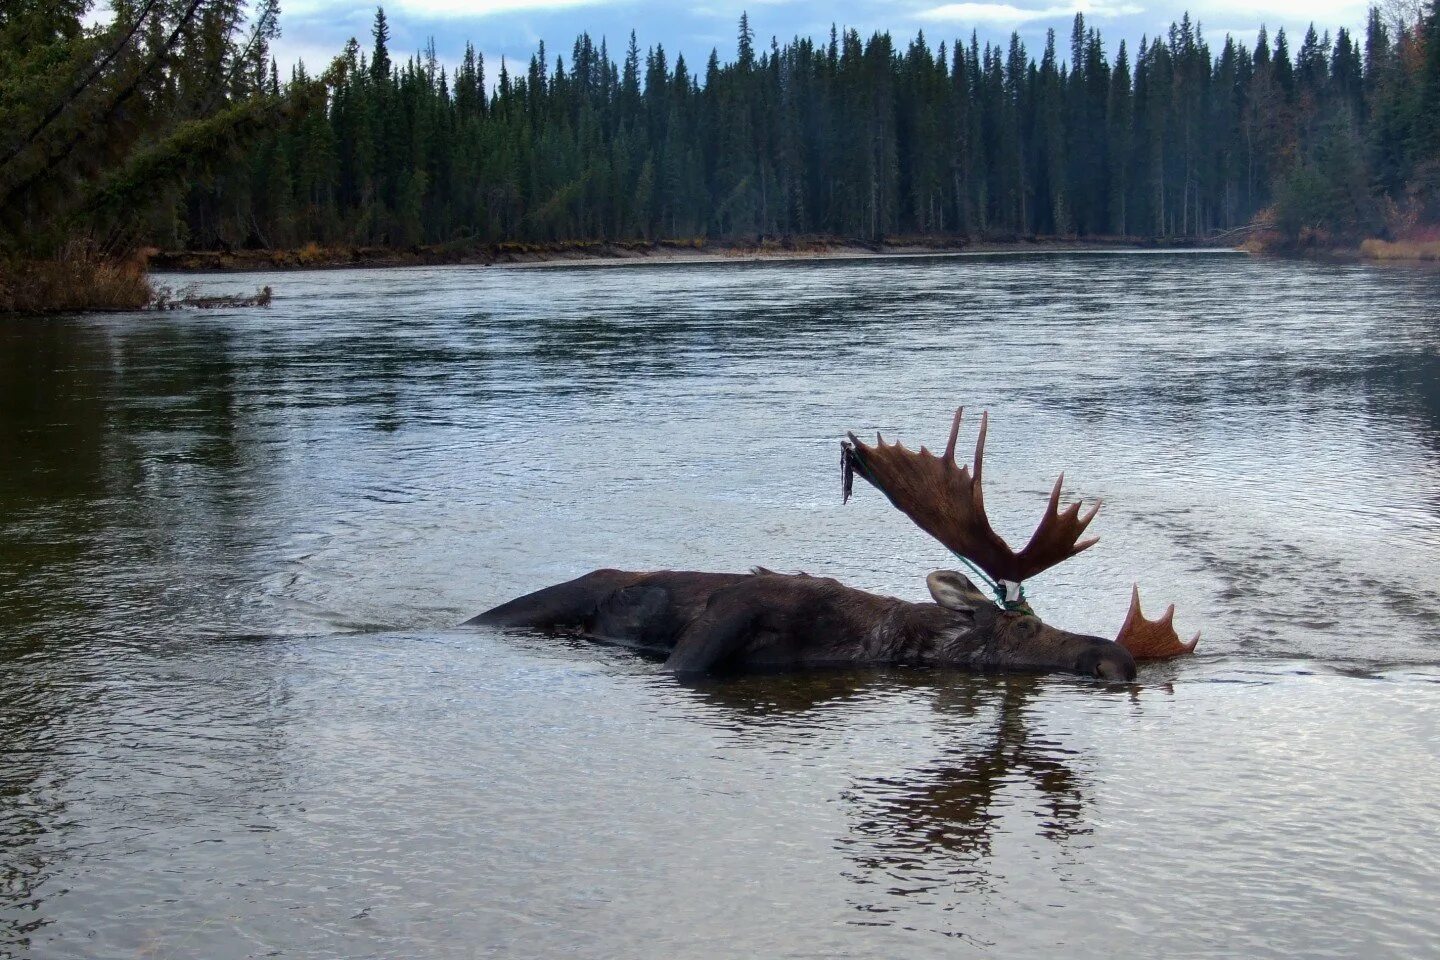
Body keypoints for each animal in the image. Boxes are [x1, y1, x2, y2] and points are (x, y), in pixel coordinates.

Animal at [469, 408, 1192, 679]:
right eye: (1019, 627)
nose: (1114, 658)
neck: (865, 637)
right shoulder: (741, 608)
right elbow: (692, 656)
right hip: (540, 600)